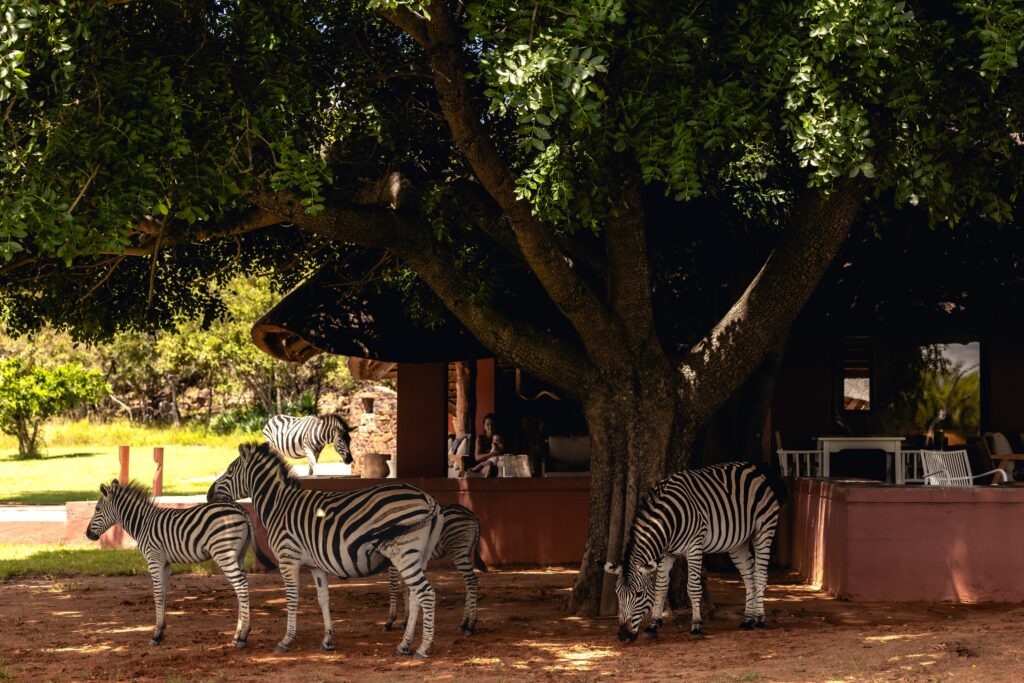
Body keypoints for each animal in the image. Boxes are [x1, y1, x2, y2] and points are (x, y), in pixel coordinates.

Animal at [85, 479, 258, 648]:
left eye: (97, 509)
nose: (87, 534)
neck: (142, 523)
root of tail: (240, 510)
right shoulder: (165, 562)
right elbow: (162, 593)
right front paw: (161, 631)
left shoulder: (154, 559)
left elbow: (156, 594)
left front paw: (156, 635)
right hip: (238, 555)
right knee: (241, 589)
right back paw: (237, 635)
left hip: (223, 552)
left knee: (241, 586)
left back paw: (243, 636)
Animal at [207, 441, 442, 658]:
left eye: (230, 470)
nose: (208, 494)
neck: (278, 506)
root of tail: (427, 497)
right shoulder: (315, 565)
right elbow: (323, 599)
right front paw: (328, 639)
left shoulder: (287, 558)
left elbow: (292, 597)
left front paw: (286, 640)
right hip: (418, 556)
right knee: (416, 596)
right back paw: (404, 645)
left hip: (403, 553)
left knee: (426, 593)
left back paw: (423, 648)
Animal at [383, 503, 488, 636]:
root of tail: (469, 512)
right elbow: (405, 587)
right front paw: (406, 621)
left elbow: (393, 587)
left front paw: (390, 621)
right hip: (466, 550)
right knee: (469, 582)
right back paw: (464, 623)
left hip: (458, 548)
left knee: (471, 580)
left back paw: (470, 625)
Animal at [604, 462, 785, 641]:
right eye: (617, 593)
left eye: (639, 594)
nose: (623, 635)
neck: (666, 519)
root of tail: (753, 467)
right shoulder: (667, 554)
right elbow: (661, 588)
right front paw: (653, 625)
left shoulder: (694, 547)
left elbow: (693, 587)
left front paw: (696, 625)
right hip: (738, 543)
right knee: (749, 577)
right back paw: (748, 619)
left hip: (764, 529)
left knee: (760, 574)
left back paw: (760, 619)